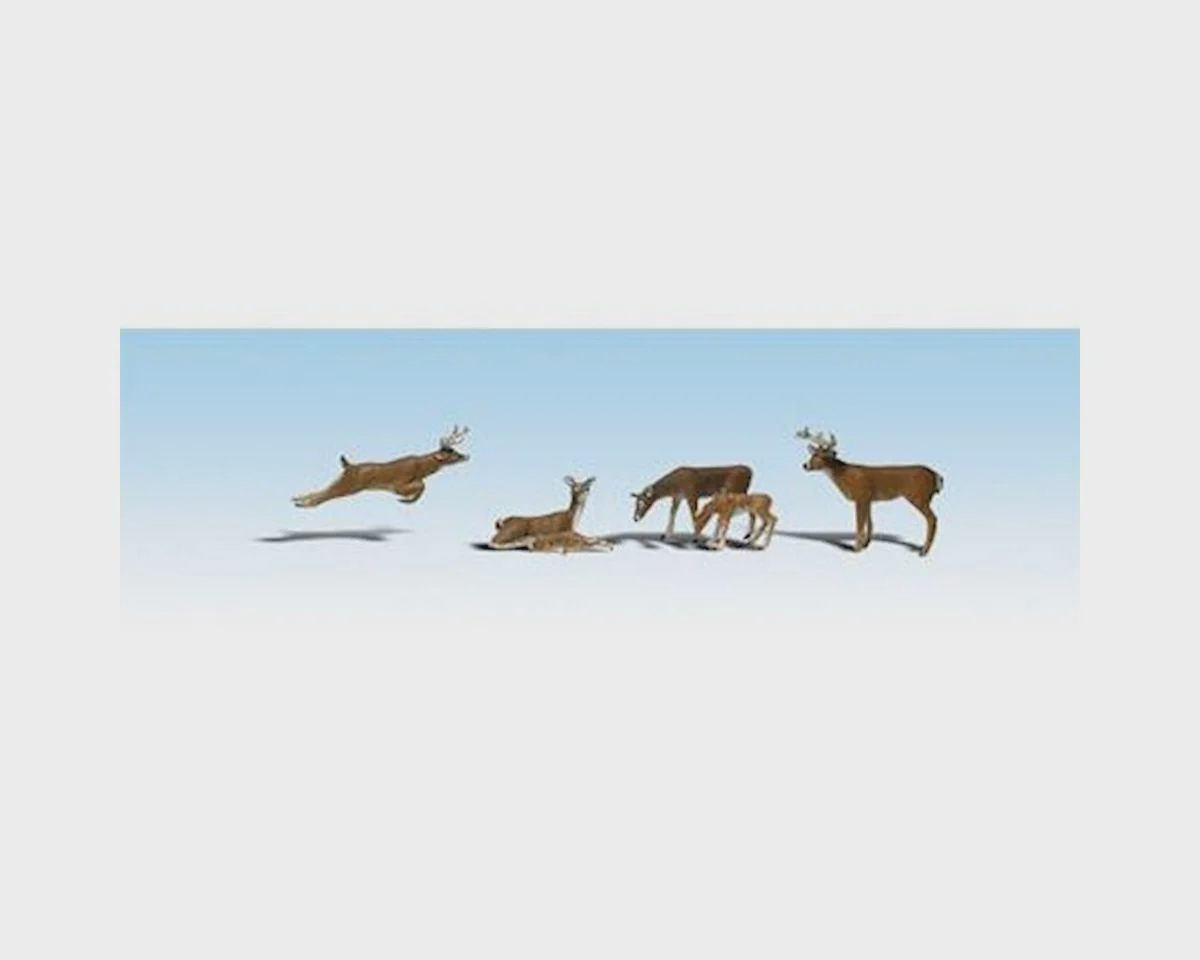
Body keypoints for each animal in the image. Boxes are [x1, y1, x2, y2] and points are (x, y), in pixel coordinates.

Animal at [292, 425, 470, 509]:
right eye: (452, 454)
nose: (466, 456)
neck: (422, 468)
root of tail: (348, 465)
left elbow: (422, 486)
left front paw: (407, 500)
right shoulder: (398, 484)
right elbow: (422, 485)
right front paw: (406, 500)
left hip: (342, 481)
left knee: (322, 490)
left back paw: (297, 498)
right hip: (349, 486)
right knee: (323, 496)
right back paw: (303, 504)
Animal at [796, 427, 944, 556]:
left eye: (822, 456)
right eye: (813, 454)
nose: (805, 465)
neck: (844, 476)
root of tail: (936, 475)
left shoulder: (860, 496)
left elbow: (859, 523)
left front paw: (856, 548)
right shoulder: (868, 499)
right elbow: (870, 522)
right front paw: (865, 544)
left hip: (919, 497)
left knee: (932, 519)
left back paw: (923, 551)